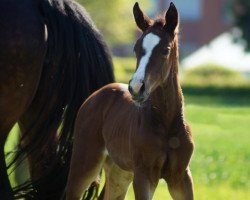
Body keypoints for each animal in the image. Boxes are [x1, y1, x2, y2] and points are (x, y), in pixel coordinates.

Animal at [65, 1, 194, 200]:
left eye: (166, 50)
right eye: (136, 49)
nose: (136, 87)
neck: (167, 123)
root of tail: (94, 96)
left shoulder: (181, 176)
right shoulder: (143, 175)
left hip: (119, 172)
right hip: (86, 161)